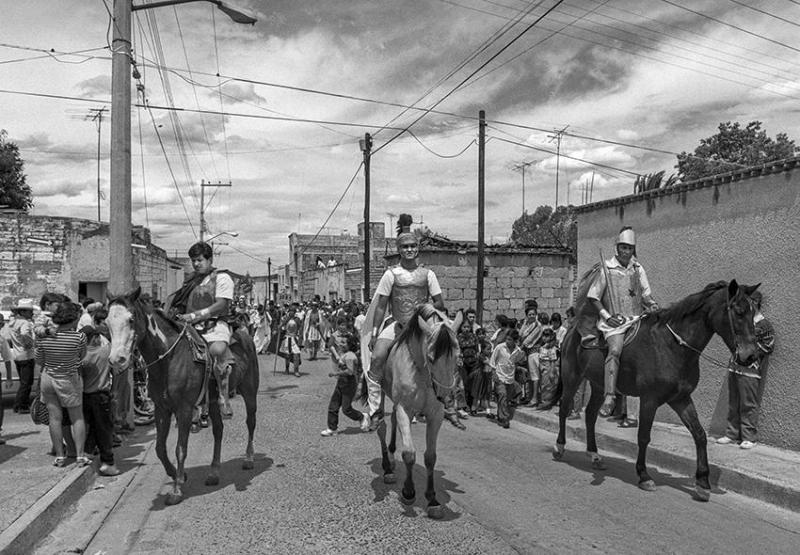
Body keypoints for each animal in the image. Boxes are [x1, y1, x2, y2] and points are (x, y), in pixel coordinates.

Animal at [105, 288, 260, 506]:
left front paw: (176, 490)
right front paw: (178, 475)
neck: (169, 359)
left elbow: (180, 448)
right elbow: (160, 448)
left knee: (250, 422)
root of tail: (246, 336)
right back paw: (214, 473)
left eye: (131, 319)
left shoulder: (184, 409)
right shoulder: (162, 408)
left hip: (250, 391)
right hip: (213, 401)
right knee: (218, 431)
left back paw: (249, 459)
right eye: (107, 322)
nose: (117, 360)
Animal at [552, 280, 760, 502]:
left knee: (590, 415)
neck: (673, 346)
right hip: (572, 378)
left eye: (754, 312)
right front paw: (644, 475)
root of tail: (572, 330)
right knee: (564, 409)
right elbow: (644, 436)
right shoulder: (649, 399)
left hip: (599, 386)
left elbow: (699, 435)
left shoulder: (681, 399)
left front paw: (703, 483)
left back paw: (595, 455)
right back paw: (559, 447)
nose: (751, 356)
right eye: (739, 312)